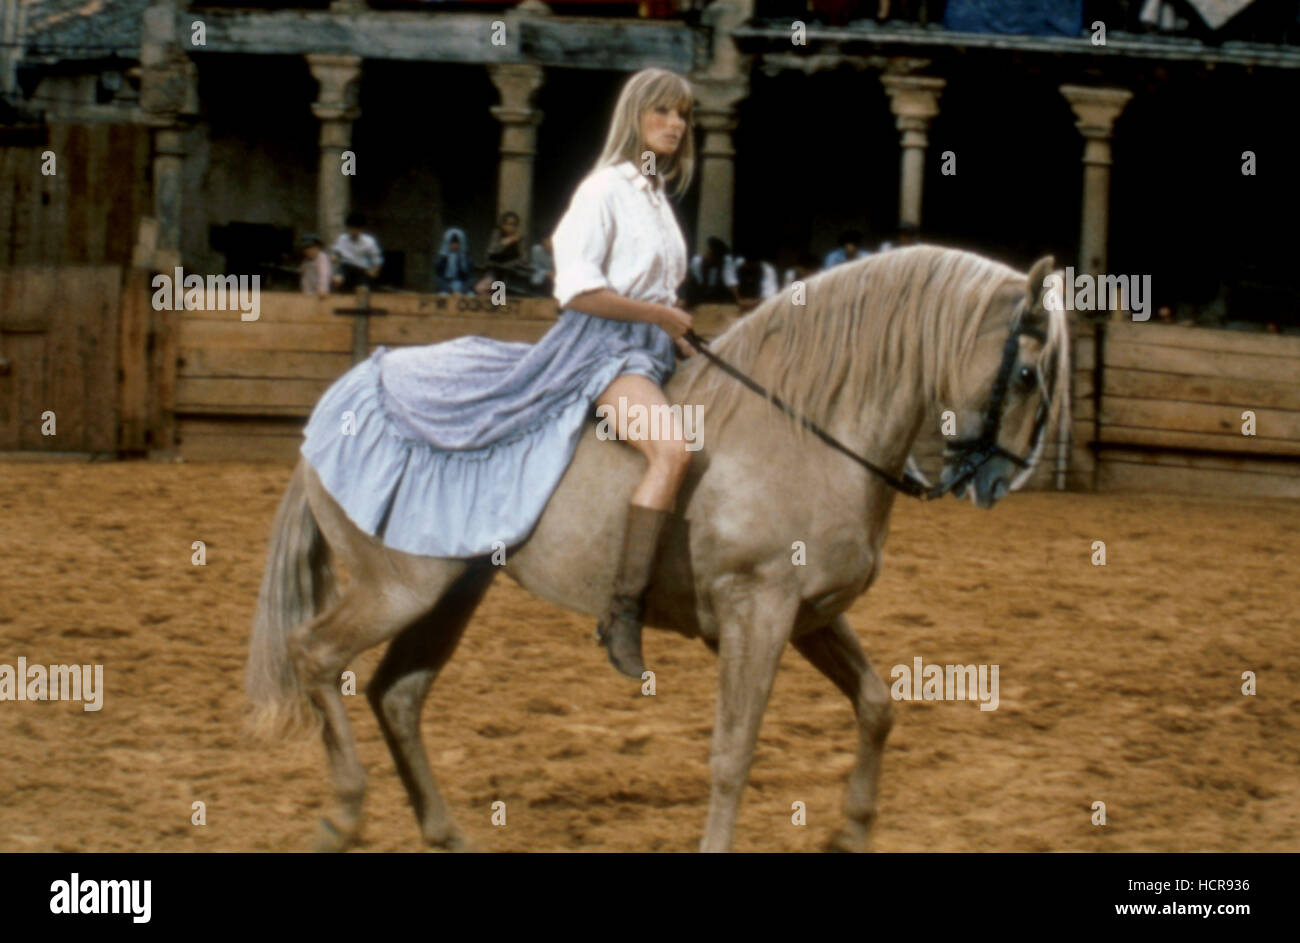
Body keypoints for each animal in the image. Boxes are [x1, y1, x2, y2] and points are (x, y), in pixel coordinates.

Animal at [244, 245, 1066, 848]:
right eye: (1028, 372)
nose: (1004, 479)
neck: (803, 428)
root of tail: (348, 392)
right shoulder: (757, 611)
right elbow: (733, 752)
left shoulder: (810, 615)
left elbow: (877, 706)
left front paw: (853, 833)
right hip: (397, 589)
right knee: (315, 655)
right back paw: (344, 812)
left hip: (452, 591)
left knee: (398, 695)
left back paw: (444, 833)